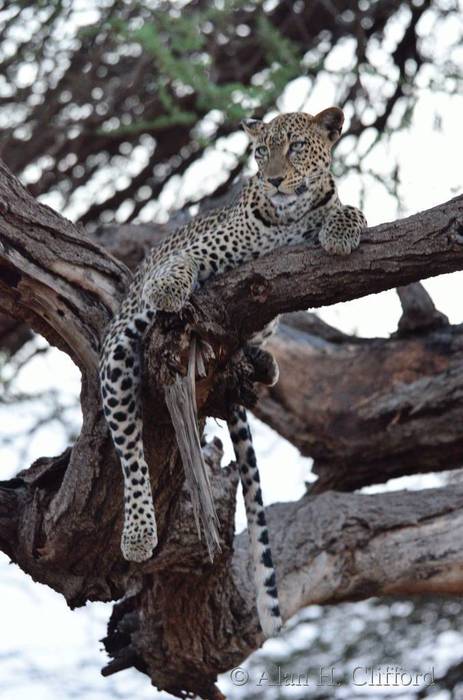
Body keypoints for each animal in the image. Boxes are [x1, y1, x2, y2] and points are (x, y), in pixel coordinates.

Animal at [99, 107, 367, 639]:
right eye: (261, 152)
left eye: (297, 147)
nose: (275, 179)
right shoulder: (207, 250)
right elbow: (181, 262)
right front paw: (168, 287)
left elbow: (350, 210)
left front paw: (342, 228)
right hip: (118, 352)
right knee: (130, 450)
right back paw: (138, 533)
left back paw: (262, 362)